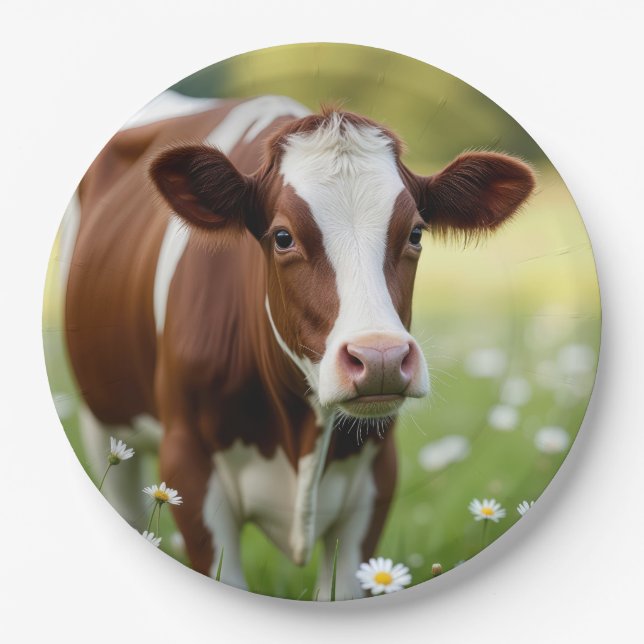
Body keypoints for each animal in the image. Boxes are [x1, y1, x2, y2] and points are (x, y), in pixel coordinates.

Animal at [60, 90, 534, 600]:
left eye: (415, 233)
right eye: (283, 237)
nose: (380, 358)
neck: (300, 434)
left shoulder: (376, 478)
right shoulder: (187, 463)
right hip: (103, 420)